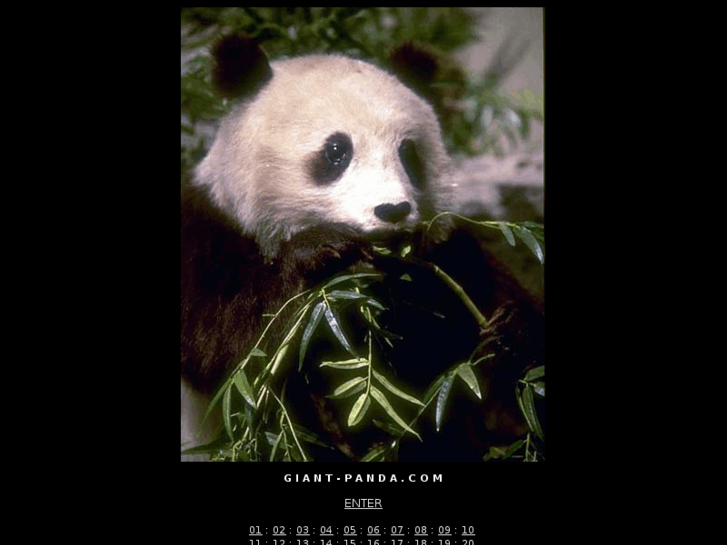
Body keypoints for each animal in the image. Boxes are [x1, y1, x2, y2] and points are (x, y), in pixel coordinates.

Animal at [181, 35, 544, 461]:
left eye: (408, 152)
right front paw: (321, 250)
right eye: (337, 151)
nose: (393, 210)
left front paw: (510, 336)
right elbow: (231, 338)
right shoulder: (206, 233)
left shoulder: (452, 258)